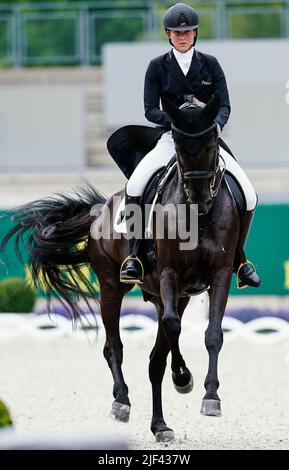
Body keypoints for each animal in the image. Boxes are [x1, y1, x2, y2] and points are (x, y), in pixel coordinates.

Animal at [1, 94, 237, 440]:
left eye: (211, 144)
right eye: (179, 146)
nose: (199, 197)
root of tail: (101, 208)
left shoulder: (217, 276)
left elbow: (213, 334)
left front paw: (210, 396)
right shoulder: (169, 274)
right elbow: (173, 326)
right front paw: (185, 379)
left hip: (168, 295)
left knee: (155, 362)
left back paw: (161, 425)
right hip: (112, 287)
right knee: (114, 346)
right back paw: (122, 401)